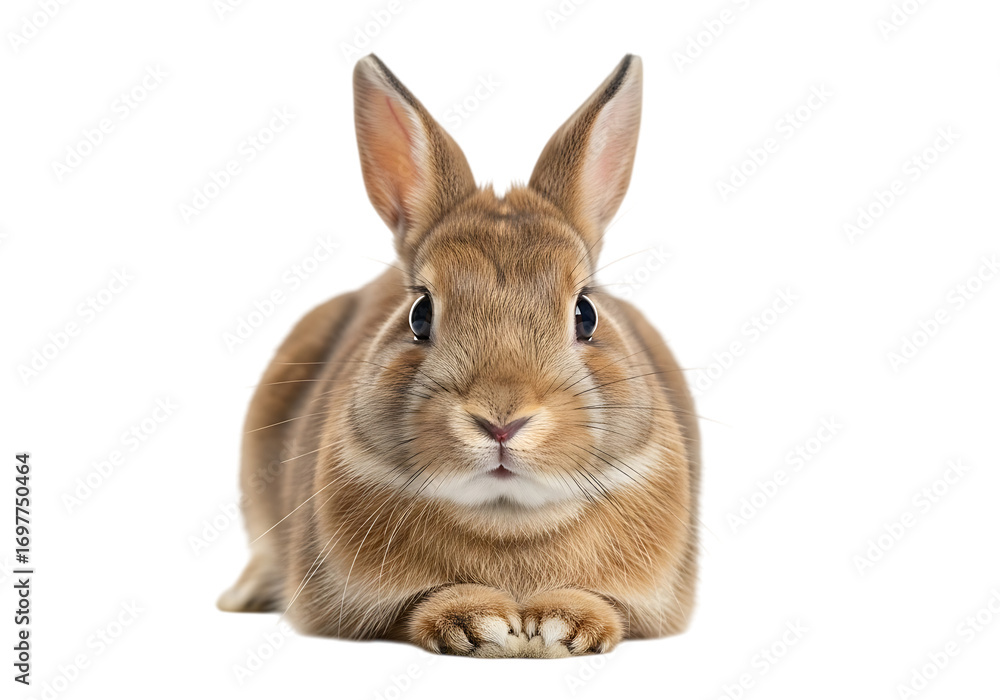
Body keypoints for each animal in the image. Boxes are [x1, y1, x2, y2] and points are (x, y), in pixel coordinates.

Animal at [218, 52, 701, 658]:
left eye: (586, 314)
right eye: (419, 314)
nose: (501, 420)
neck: (508, 521)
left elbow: (608, 607)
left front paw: (560, 625)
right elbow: (416, 606)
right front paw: (482, 624)